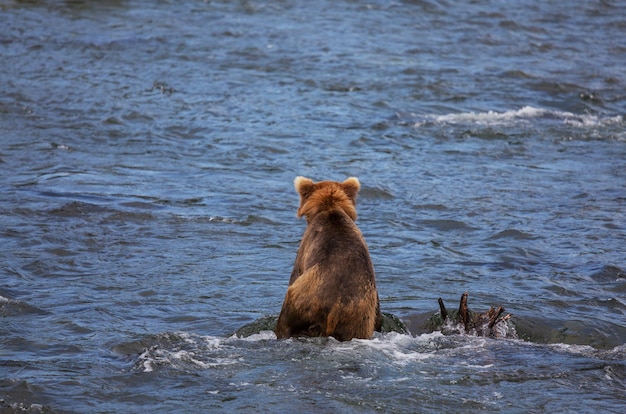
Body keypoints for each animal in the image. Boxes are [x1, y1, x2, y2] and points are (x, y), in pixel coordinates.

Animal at [274, 176, 380, 342]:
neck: (330, 208)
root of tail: (335, 309)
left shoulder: (305, 248)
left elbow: (295, 272)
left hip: (307, 296)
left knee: (288, 313)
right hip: (358, 318)